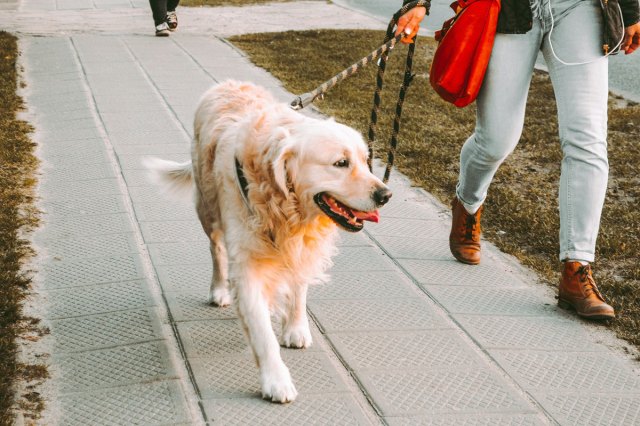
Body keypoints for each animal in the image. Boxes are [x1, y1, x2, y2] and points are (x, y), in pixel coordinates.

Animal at [146, 80, 390, 402]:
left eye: (365, 161)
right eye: (340, 163)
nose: (386, 195)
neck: (285, 207)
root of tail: (226, 83)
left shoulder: (301, 248)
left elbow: (299, 288)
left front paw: (296, 328)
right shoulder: (247, 267)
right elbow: (262, 334)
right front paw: (276, 380)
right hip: (207, 209)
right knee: (216, 249)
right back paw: (219, 289)